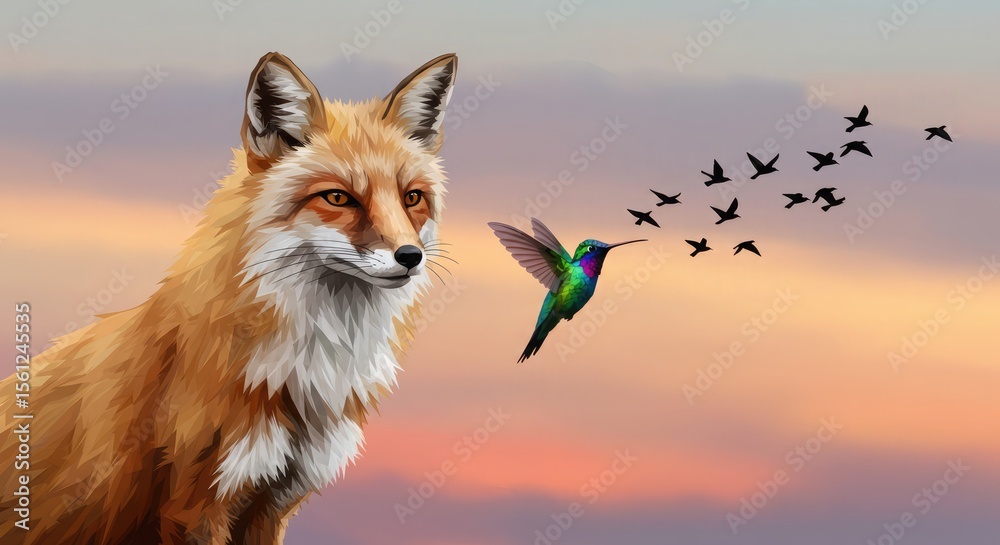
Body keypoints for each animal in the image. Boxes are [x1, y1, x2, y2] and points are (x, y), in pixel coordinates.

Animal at [0, 51, 457, 544]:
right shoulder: (195, 505)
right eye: (338, 197)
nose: (410, 256)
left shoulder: (273, 503)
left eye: (412, 198)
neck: (301, 371)